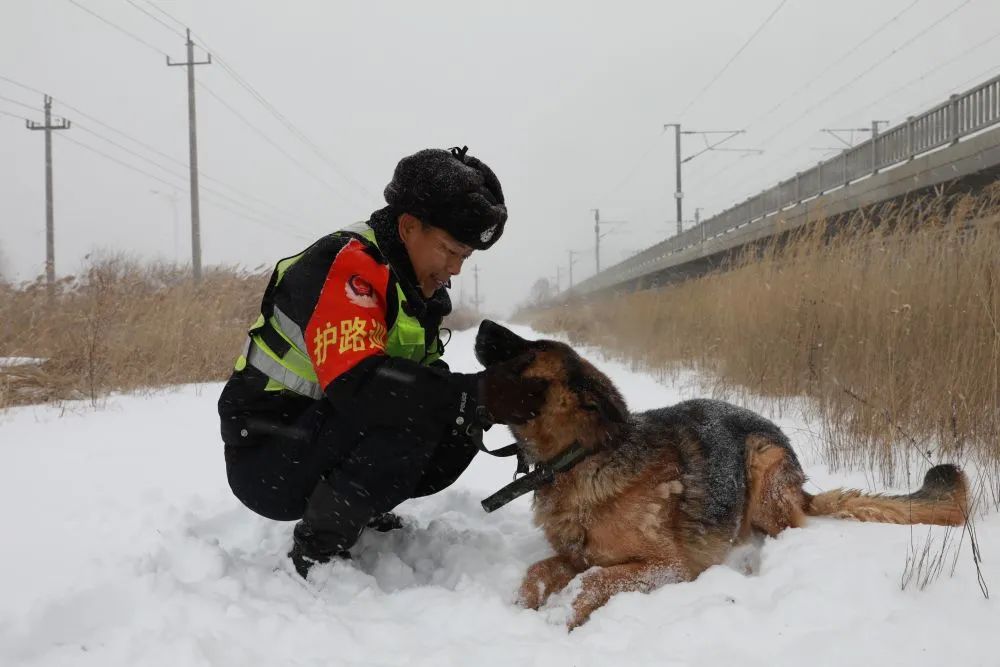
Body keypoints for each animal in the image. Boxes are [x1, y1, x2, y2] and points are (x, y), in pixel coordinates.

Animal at [476, 320, 968, 628]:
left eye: (529, 350)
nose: (480, 326)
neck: (578, 459)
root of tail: (801, 486)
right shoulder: (575, 556)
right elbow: (538, 572)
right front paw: (523, 609)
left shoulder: (668, 566)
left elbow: (592, 580)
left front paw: (562, 620)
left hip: (761, 462)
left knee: (787, 526)